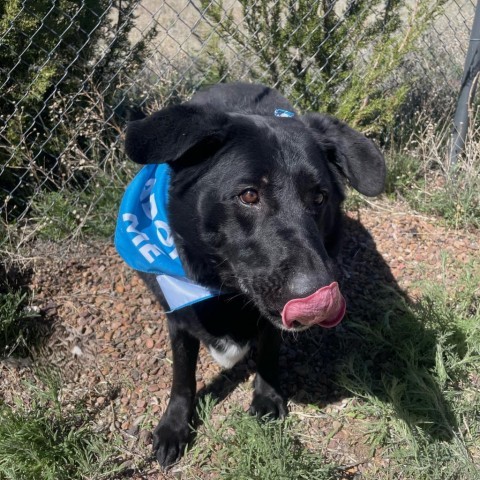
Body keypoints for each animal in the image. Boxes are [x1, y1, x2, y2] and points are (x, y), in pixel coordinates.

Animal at [121, 82, 386, 468]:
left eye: (319, 197)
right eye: (249, 195)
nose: (318, 297)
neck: (224, 291)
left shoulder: (270, 320)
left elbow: (268, 350)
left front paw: (266, 396)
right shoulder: (177, 313)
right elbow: (182, 373)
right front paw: (175, 425)